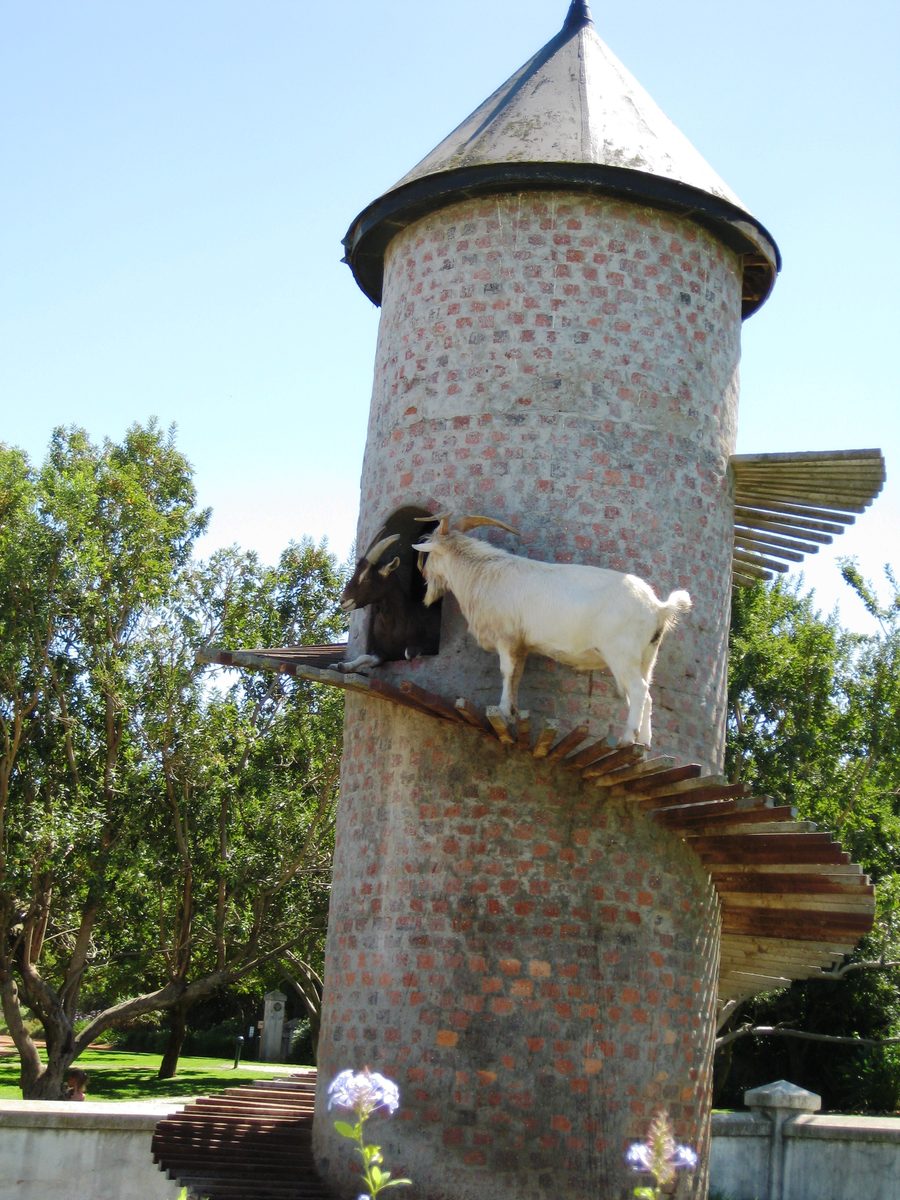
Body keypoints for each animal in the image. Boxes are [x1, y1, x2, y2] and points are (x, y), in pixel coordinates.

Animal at [332, 530, 440, 673]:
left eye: (366, 577)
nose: (343, 601)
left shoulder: (429, 644)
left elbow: (408, 653)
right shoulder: (382, 651)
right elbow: (363, 657)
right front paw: (341, 665)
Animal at [412, 515, 692, 747]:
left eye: (430, 554)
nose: (423, 574)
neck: (482, 573)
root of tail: (659, 607)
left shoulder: (506, 636)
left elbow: (506, 672)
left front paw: (502, 710)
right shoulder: (521, 645)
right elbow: (517, 675)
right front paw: (513, 712)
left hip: (622, 653)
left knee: (638, 690)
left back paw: (626, 739)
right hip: (647, 656)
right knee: (649, 695)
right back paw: (643, 743)